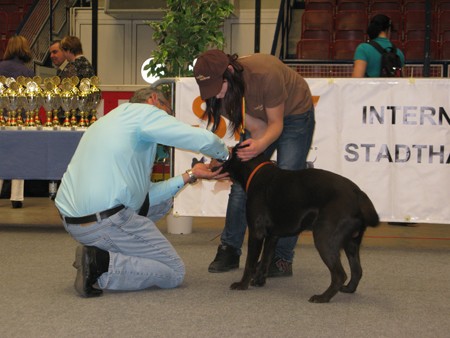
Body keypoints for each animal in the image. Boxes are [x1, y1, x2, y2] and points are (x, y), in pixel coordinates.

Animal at [221, 145, 380, 304]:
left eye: (230, 153)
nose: (219, 164)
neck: (255, 172)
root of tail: (358, 193)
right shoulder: (273, 236)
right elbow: (266, 259)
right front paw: (259, 281)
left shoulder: (256, 232)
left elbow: (250, 262)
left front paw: (242, 284)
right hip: (351, 242)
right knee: (357, 270)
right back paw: (348, 289)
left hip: (324, 238)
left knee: (340, 275)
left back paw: (323, 297)